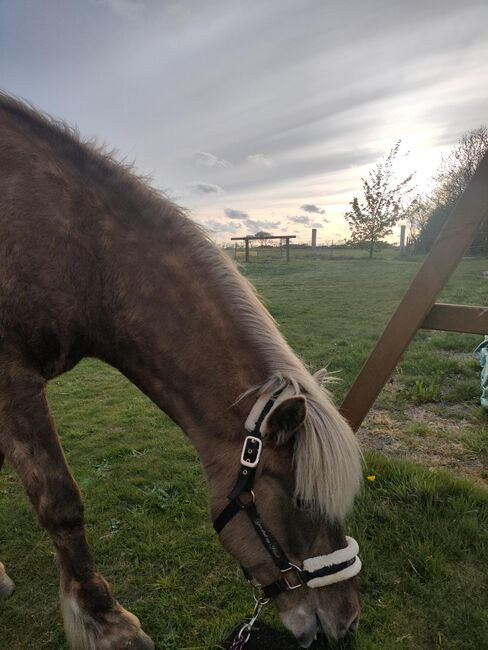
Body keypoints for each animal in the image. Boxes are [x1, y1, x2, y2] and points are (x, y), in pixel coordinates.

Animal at [0, 92, 362, 648]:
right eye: (301, 500)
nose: (348, 619)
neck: (76, 249)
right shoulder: (12, 378)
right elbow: (60, 502)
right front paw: (105, 623)